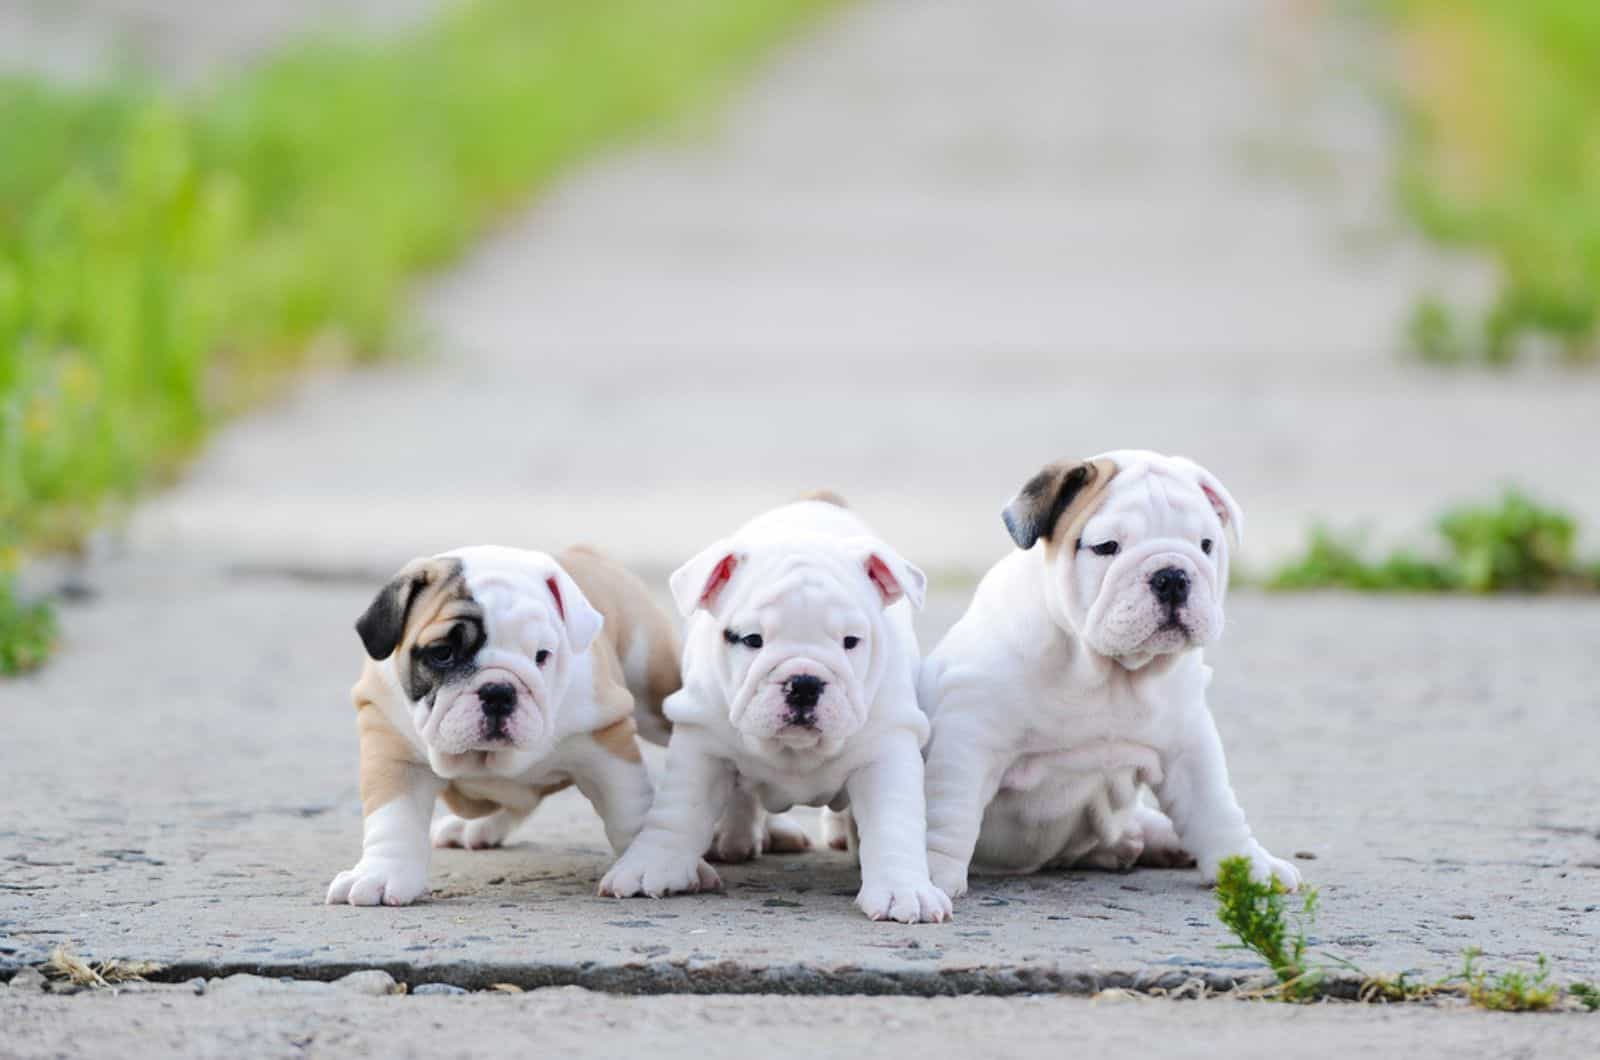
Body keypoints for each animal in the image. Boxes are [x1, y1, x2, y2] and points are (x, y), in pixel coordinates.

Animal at [324, 544, 675, 909]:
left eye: (542, 655)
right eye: (443, 653)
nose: (498, 692)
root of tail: (583, 551)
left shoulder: (606, 742)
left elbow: (628, 807)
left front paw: (646, 862)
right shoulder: (391, 747)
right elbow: (393, 819)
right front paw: (378, 875)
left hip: (654, 688)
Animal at [598, 496, 947, 922]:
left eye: (851, 641)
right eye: (752, 640)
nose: (805, 683)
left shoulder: (887, 749)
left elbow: (893, 824)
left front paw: (903, 890)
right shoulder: (701, 744)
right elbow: (678, 812)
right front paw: (651, 865)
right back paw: (735, 838)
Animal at [921, 451, 1305, 909]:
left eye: (1206, 545)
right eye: (1106, 547)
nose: (1172, 576)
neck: (1109, 672)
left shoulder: (1189, 744)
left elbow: (1216, 807)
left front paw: (1248, 867)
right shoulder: (969, 738)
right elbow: (950, 814)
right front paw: (930, 875)